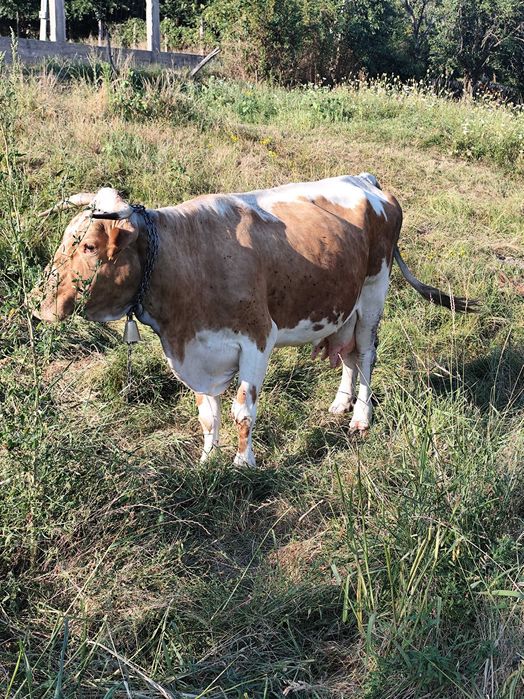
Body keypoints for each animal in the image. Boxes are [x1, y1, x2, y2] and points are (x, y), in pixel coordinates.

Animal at [34, 174, 476, 466]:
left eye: (89, 246)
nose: (38, 303)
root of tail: (367, 180)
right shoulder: (197, 350)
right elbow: (207, 414)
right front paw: (207, 459)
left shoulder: (256, 341)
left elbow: (243, 410)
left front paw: (243, 464)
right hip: (342, 305)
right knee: (348, 355)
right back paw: (340, 403)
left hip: (372, 293)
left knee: (366, 354)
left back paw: (360, 417)